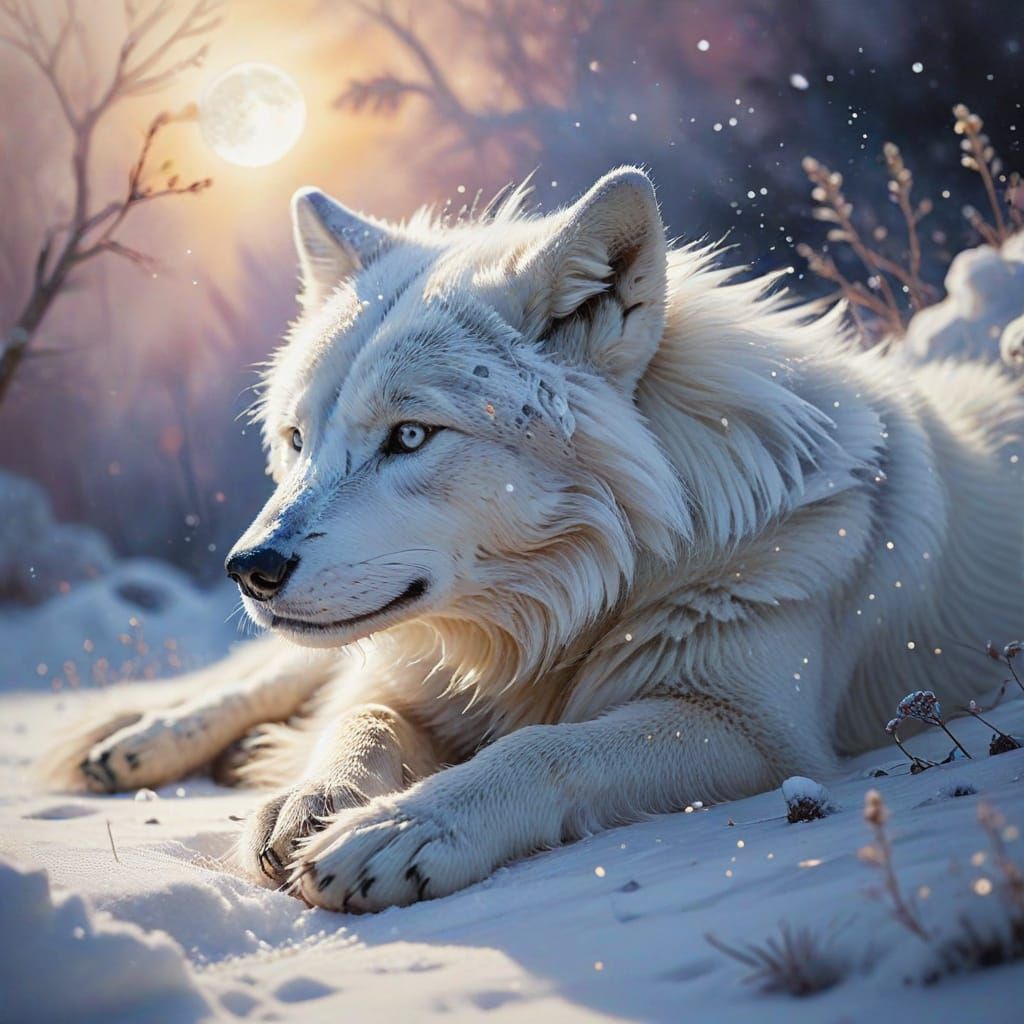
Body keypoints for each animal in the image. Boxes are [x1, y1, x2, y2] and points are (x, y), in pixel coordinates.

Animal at [46, 168, 1023, 912]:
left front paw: (402, 829)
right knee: (265, 681)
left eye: (410, 436)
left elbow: (544, 747)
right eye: (295, 440)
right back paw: (134, 744)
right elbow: (361, 720)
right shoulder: (402, 673)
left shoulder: (759, 734)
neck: (557, 613)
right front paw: (307, 801)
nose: (248, 570)